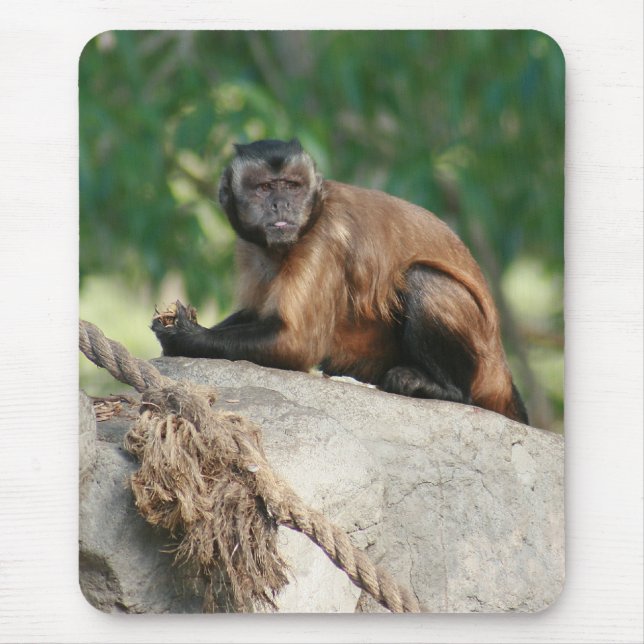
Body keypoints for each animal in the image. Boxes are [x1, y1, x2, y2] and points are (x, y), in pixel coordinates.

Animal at [152, 138, 528, 424]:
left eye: (292, 187)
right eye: (264, 188)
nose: (281, 204)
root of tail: (502, 372)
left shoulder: (323, 237)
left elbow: (296, 343)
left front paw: (186, 337)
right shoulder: (250, 247)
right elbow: (260, 314)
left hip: (482, 368)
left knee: (422, 277)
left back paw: (445, 390)